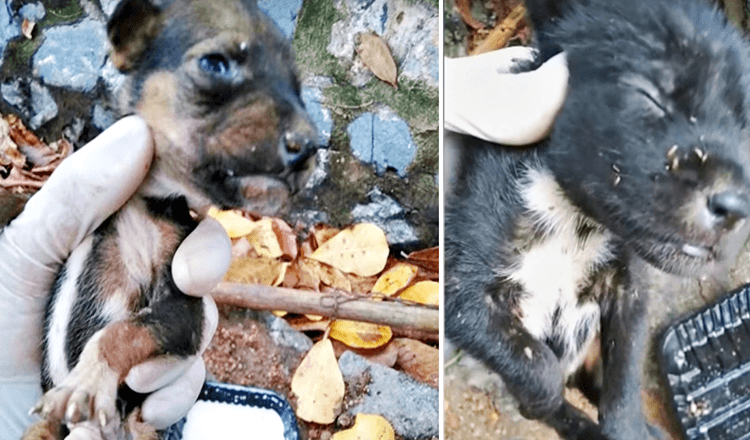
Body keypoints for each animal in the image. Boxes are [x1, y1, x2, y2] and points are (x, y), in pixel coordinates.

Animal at [23, 0, 318, 438]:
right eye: (215, 64)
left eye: (297, 88)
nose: (313, 146)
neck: (147, 204)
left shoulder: (185, 310)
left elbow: (122, 331)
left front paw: (88, 380)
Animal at [446, 0, 750, 440]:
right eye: (648, 95)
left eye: (745, 127)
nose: (738, 205)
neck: (573, 216)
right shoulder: (463, 286)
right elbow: (537, 366)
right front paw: (543, 400)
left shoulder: (630, 291)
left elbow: (624, 381)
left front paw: (628, 427)